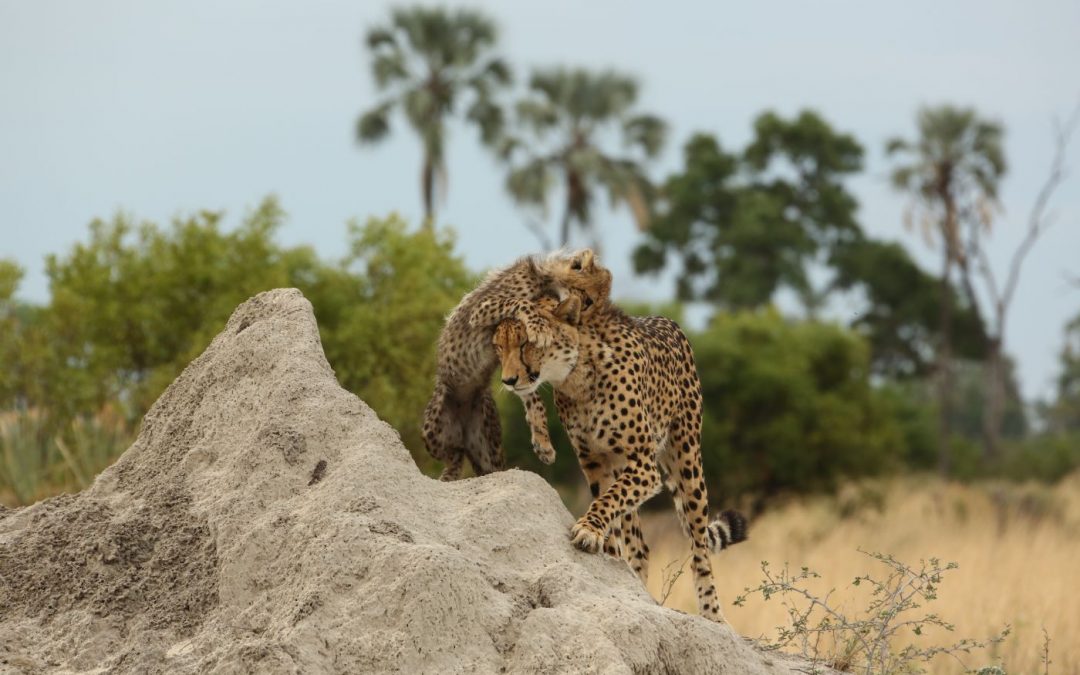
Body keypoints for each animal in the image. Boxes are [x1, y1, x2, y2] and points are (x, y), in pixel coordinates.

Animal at [421, 247, 613, 479]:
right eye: (589, 300)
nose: (585, 320)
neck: (547, 281)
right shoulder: (481, 309)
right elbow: (520, 302)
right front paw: (539, 327)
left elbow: (531, 394)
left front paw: (543, 444)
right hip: (434, 431)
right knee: (453, 455)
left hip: (487, 447)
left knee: (481, 464)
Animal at [494, 298, 747, 622]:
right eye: (499, 347)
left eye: (527, 343)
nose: (509, 380)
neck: (576, 377)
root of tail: (666, 319)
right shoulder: (595, 462)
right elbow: (608, 501)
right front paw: (605, 548)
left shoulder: (644, 463)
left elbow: (608, 501)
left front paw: (588, 531)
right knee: (639, 545)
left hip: (687, 460)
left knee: (699, 546)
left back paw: (711, 612)